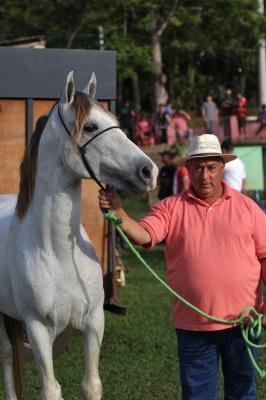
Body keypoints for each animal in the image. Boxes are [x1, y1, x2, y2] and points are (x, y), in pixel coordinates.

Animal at [0, 72, 158, 400]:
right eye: (90, 126)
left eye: (113, 118)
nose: (149, 171)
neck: (58, 253)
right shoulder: (38, 329)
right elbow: (51, 389)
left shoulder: (94, 322)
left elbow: (91, 384)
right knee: (7, 357)